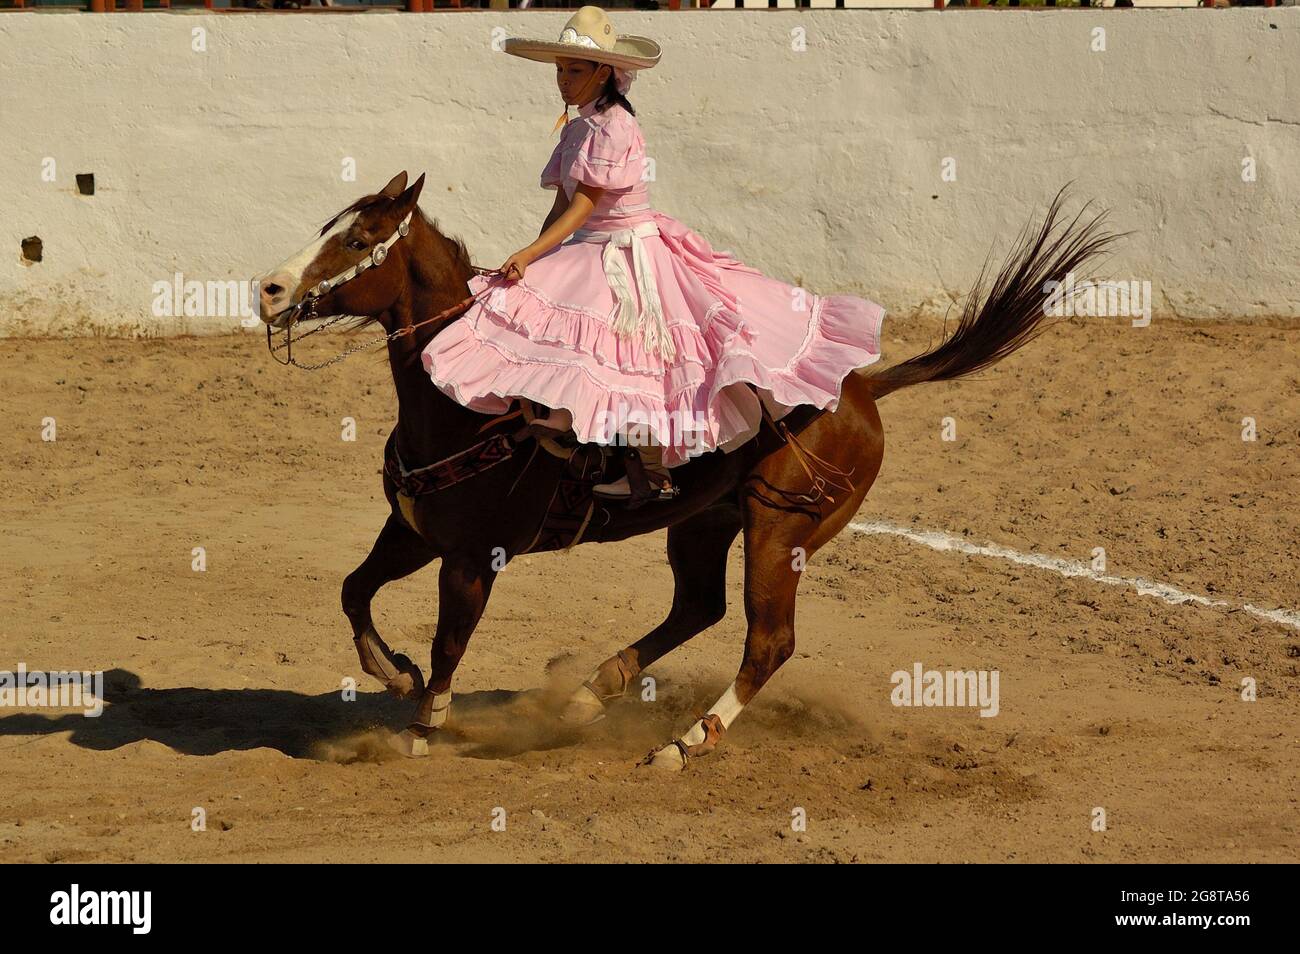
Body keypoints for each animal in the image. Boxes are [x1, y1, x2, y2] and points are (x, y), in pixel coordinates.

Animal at [256, 171, 1118, 769]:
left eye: (356, 240)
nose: (268, 289)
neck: (464, 400)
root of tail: (862, 388)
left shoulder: (472, 557)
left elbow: (448, 645)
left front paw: (420, 732)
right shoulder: (412, 532)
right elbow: (354, 590)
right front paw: (394, 677)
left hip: (780, 527)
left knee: (767, 641)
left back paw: (682, 743)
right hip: (704, 522)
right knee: (699, 606)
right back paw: (588, 694)